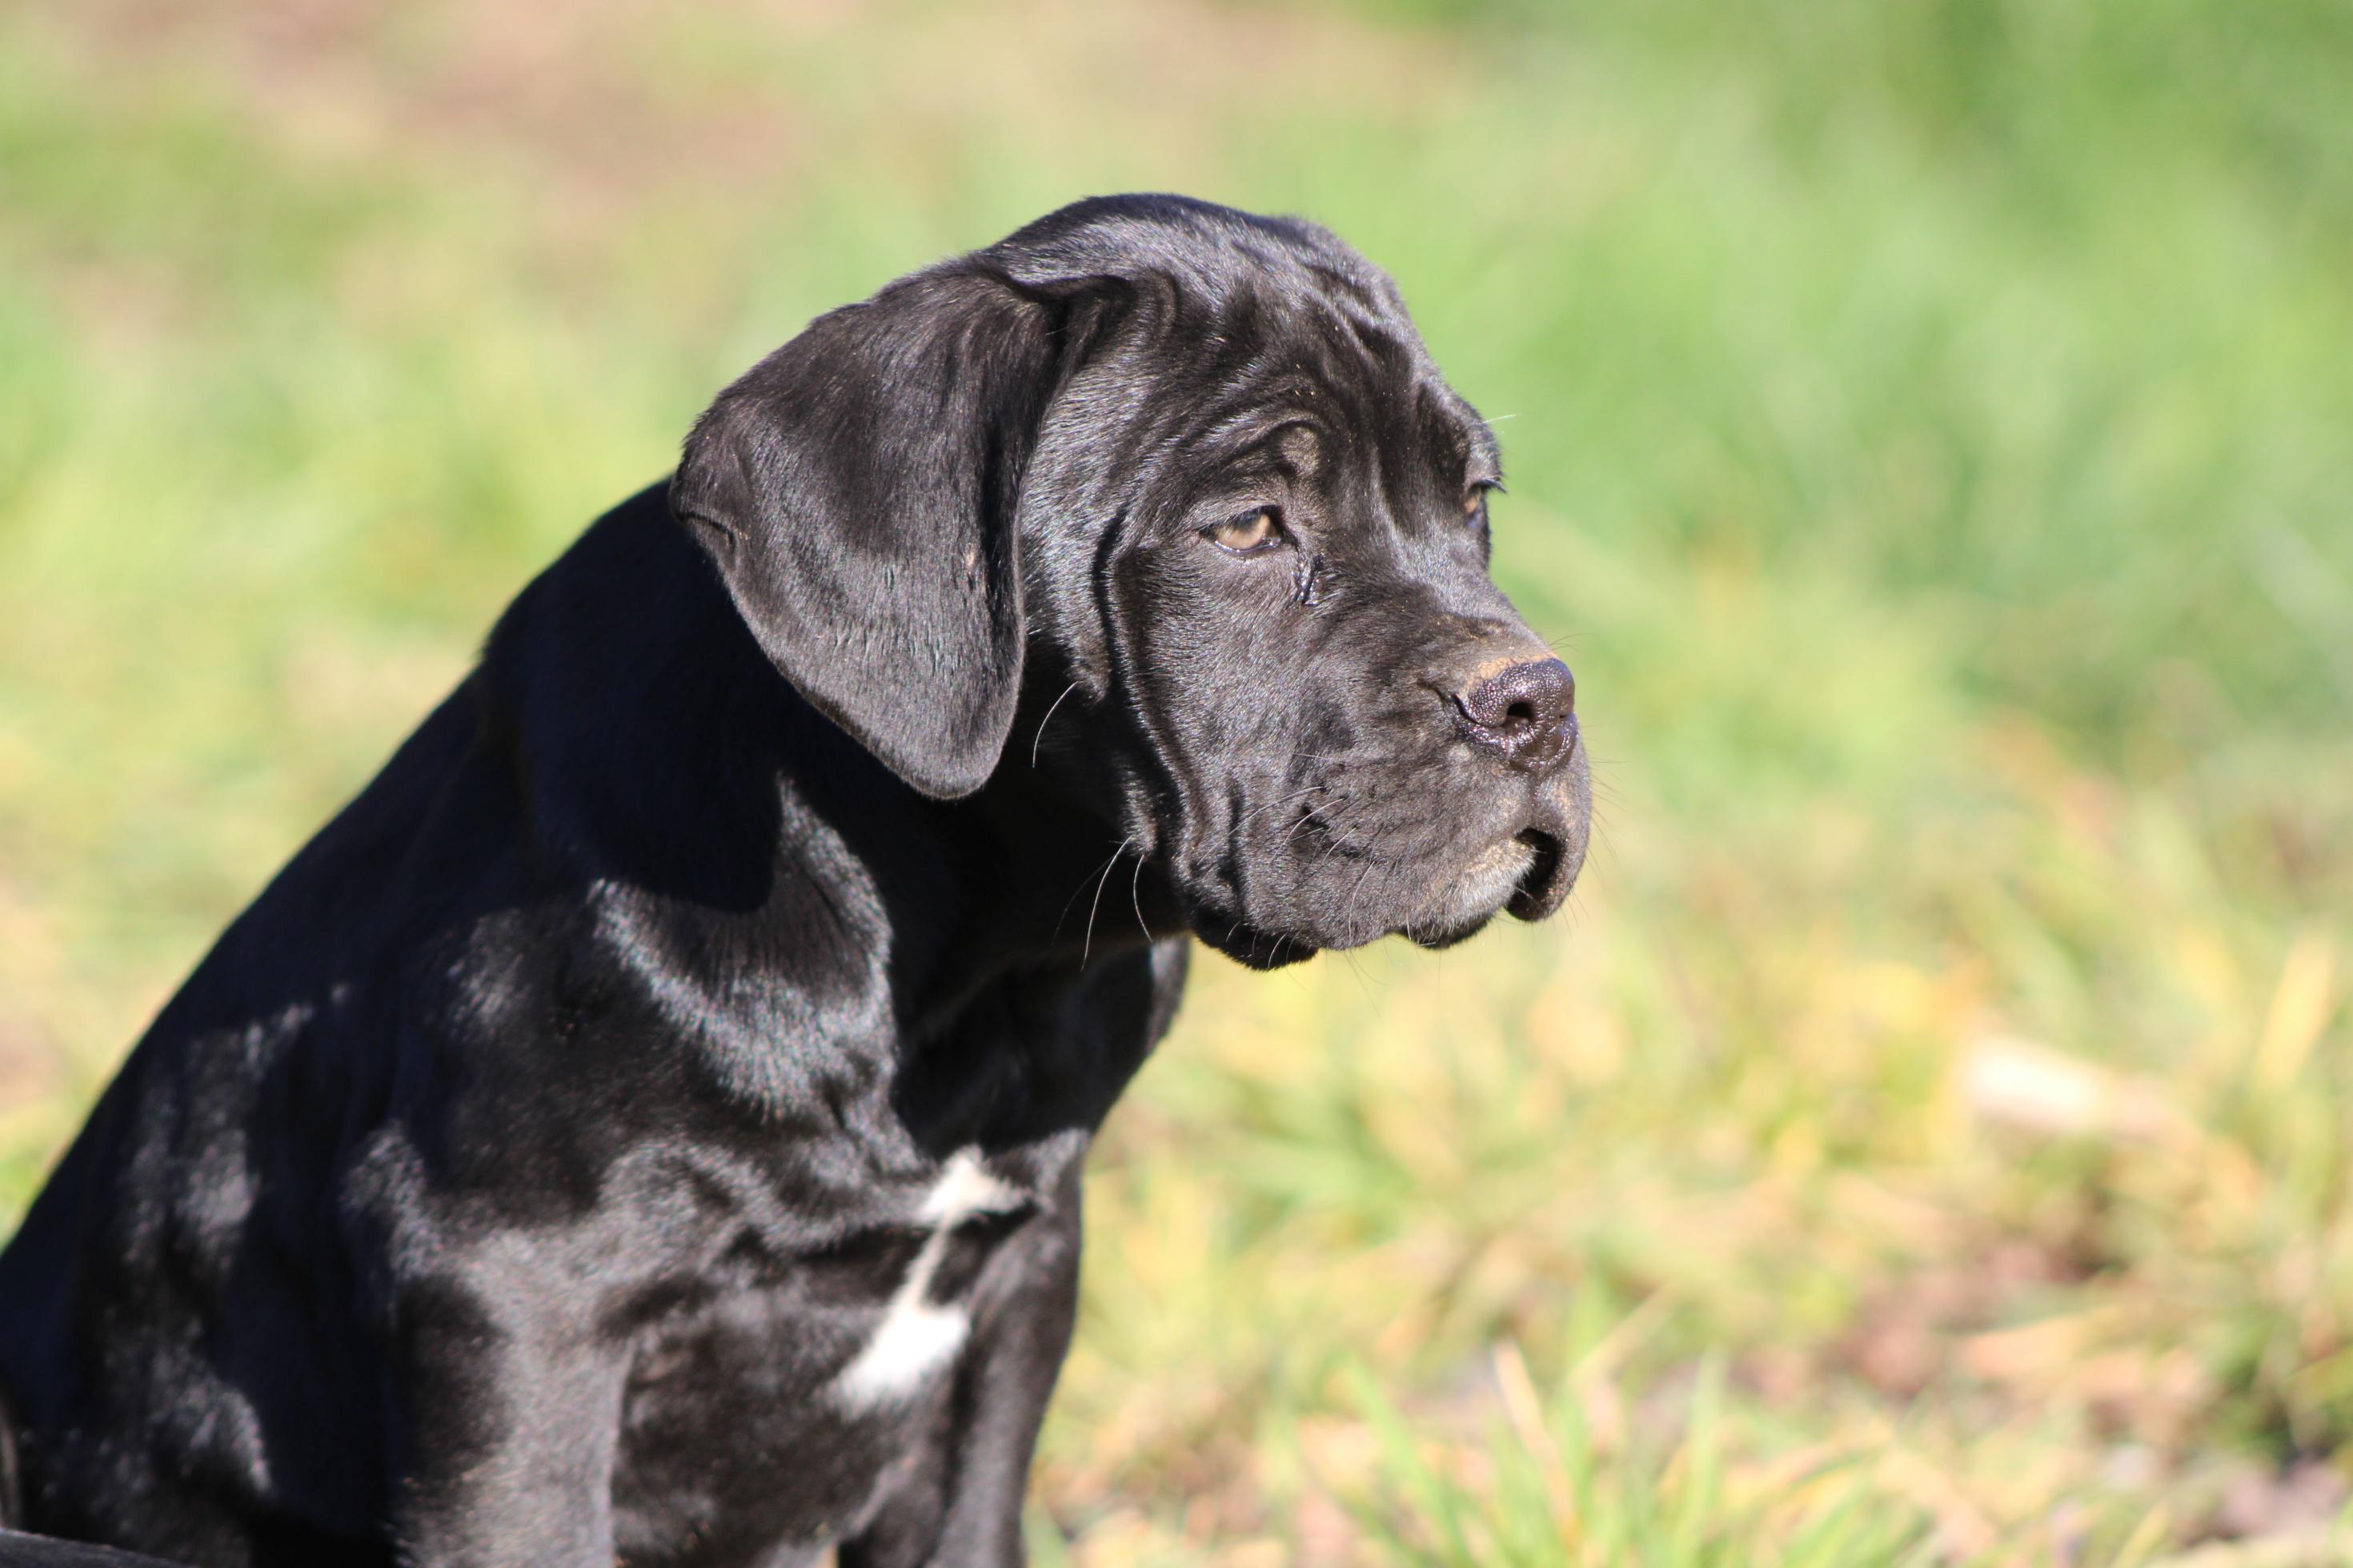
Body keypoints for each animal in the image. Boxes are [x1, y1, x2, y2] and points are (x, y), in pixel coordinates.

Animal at [0, 195, 1600, 1563]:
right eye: (1250, 528)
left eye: (1473, 503)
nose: (1536, 700)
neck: (962, 967)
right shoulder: (512, 1298)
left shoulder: (1017, 1288)